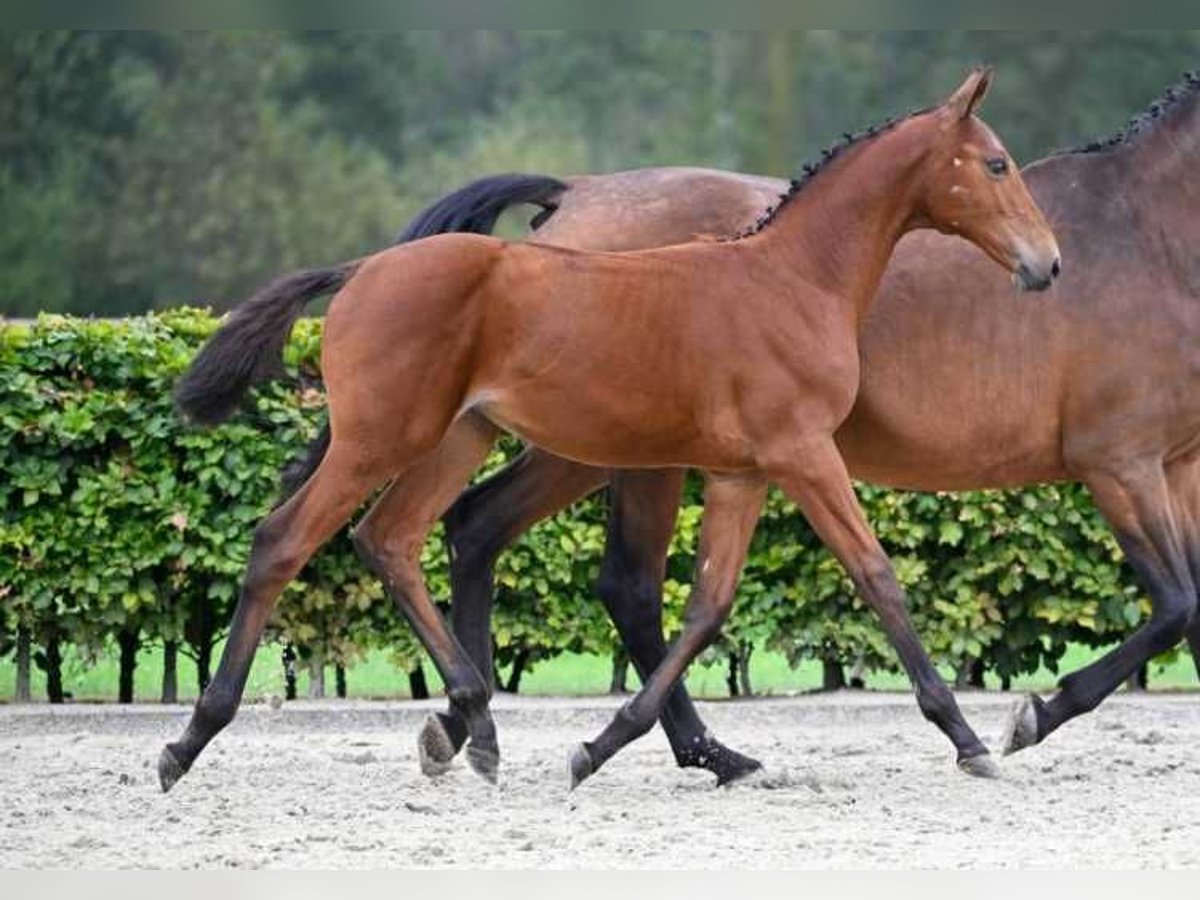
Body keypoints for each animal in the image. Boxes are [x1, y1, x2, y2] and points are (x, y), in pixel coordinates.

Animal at [162, 66, 1060, 792]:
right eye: (997, 163)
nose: (1046, 264)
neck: (792, 279)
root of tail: (360, 270)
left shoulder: (743, 472)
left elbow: (707, 606)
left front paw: (604, 745)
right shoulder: (803, 455)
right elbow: (877, 577)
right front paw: (969, 738)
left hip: (459, 438)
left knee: (393, 539)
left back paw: (475, 723)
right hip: (380, 440)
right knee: (284, 541)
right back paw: (190, 740)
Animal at [403, 70, 1200, 782]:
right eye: (996, 164)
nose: (1046, 265)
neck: (1153, 236)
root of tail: (572, 194)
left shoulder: (1178, 467)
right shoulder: (1119, 462)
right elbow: (1174, 606)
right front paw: (1024, 719)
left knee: (485, 528)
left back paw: (476, 728)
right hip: (613, 451)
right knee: (614, 580)